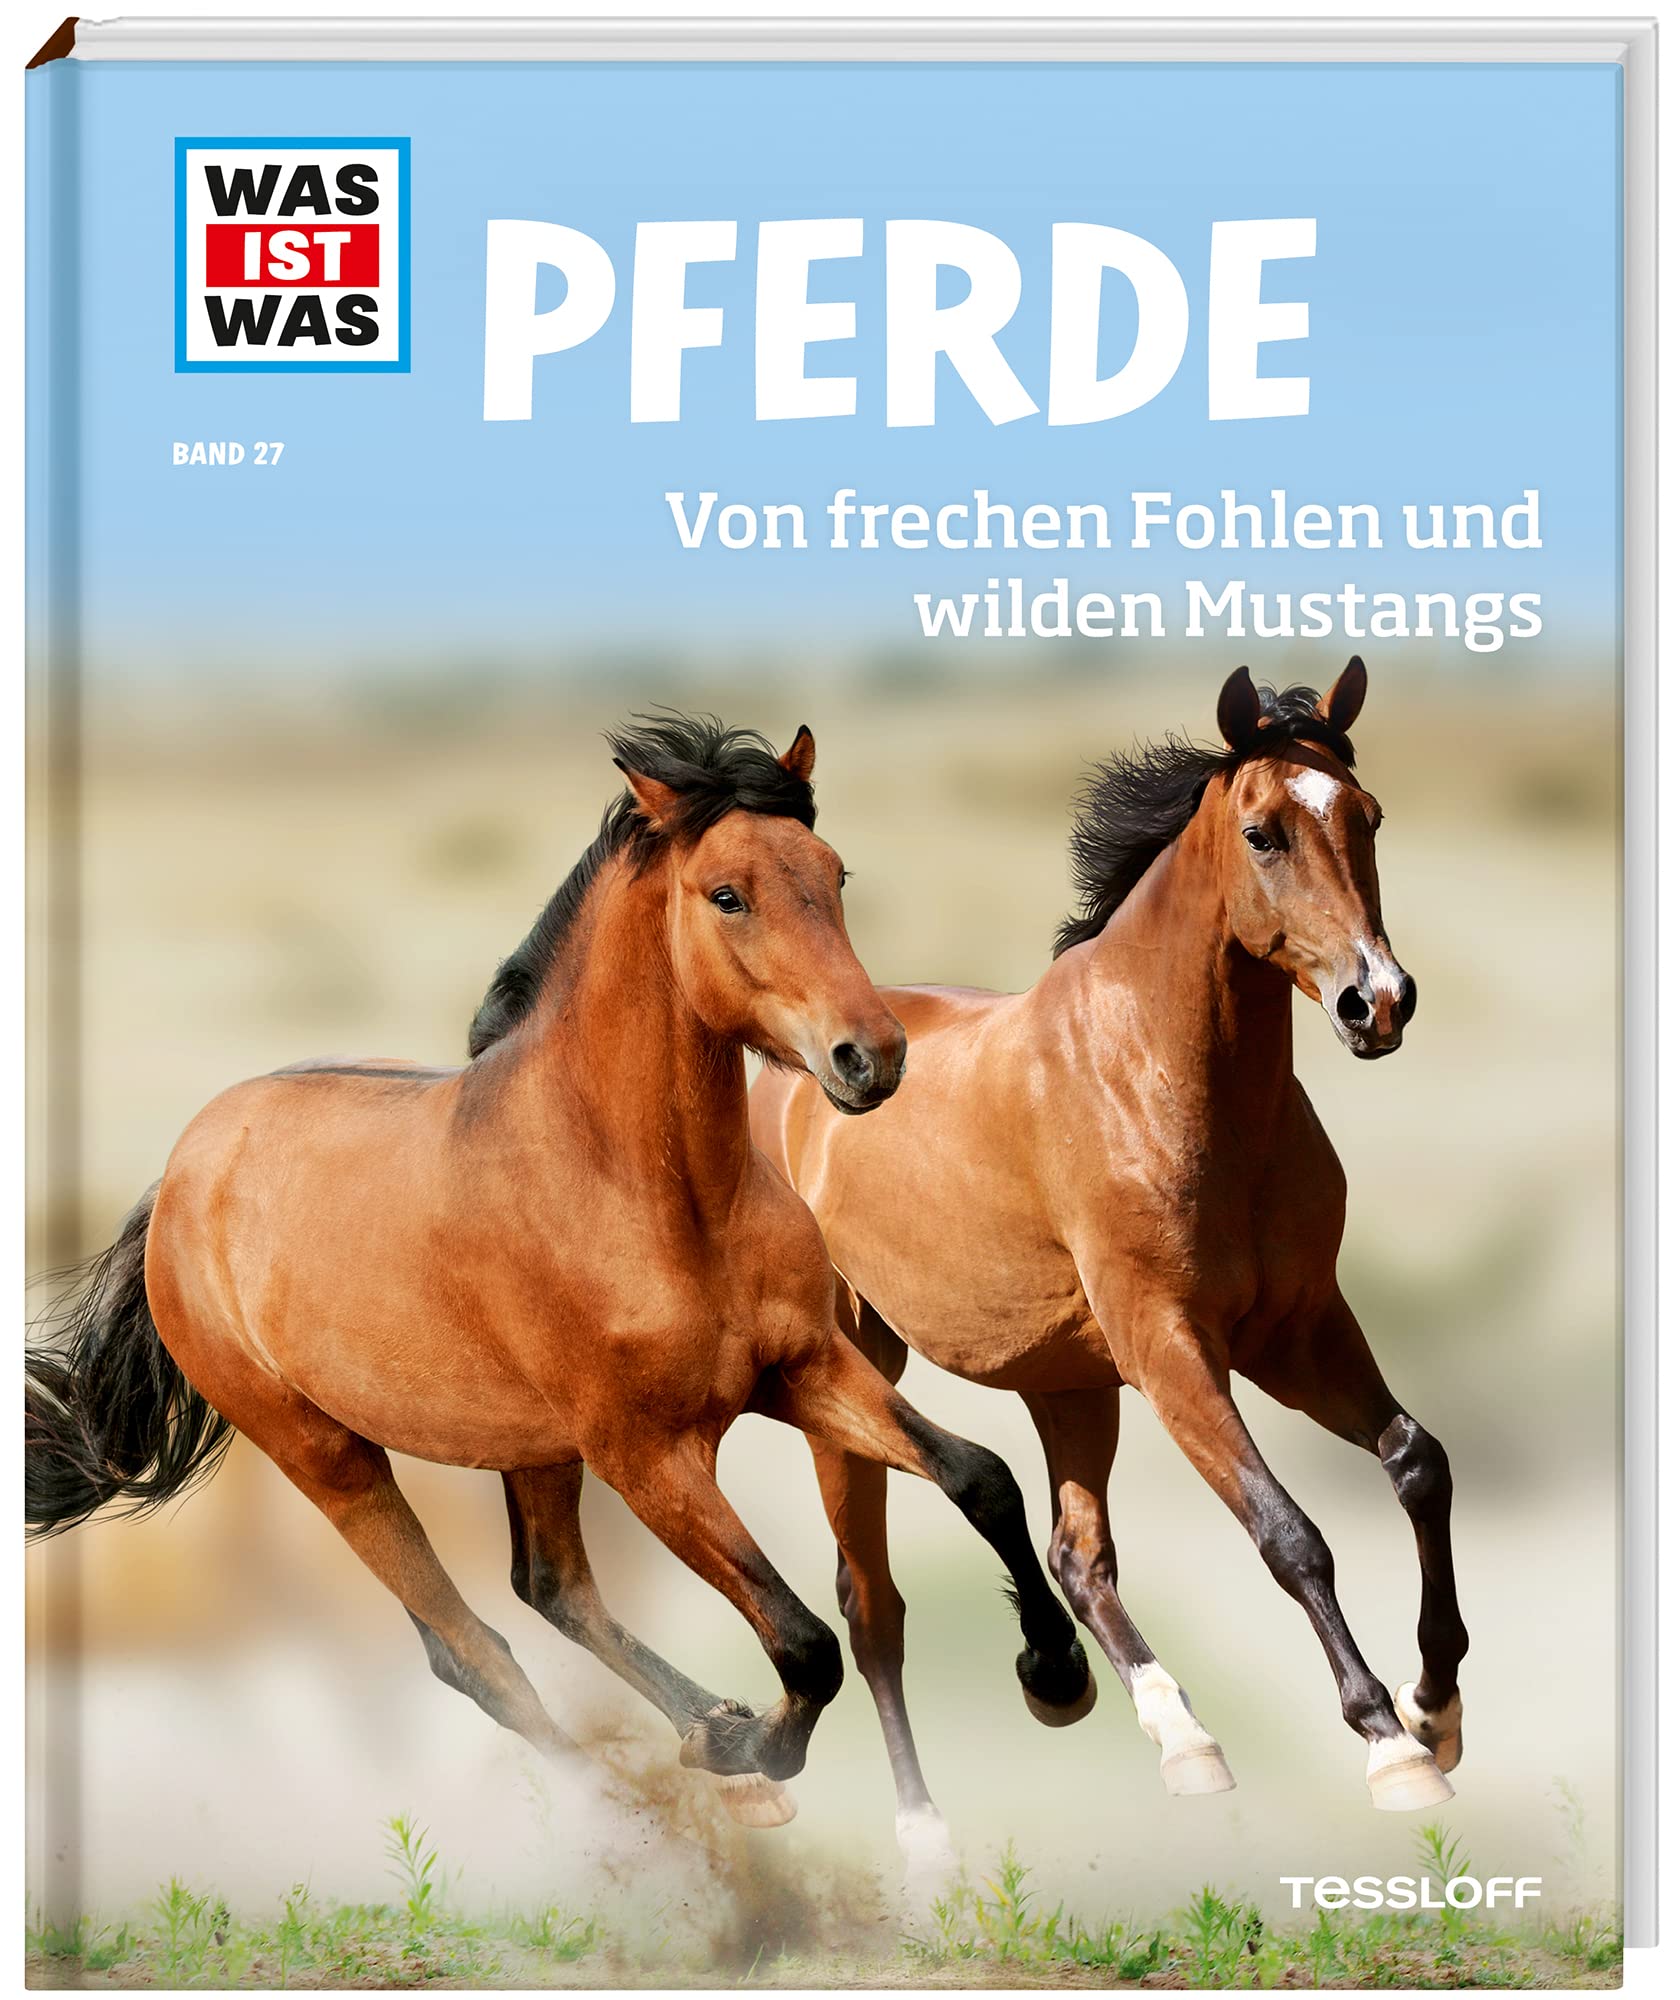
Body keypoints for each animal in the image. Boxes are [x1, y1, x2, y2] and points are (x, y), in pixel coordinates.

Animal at [26, 713, 1093, 1829]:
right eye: (727, 894)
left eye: (834, 873)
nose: (871, 1057)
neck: (655, 1194)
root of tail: (182, 1175)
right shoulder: (649, 1454)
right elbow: (804, 1641)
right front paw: (755, 1745)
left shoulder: (803, 1368)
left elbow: (981, 1479)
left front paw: (1056, 1674)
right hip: (329, 1458)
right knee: (473, 1652)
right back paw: (668, 1804)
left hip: (529, 1446)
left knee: (549, 1588)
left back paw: (708, 1737)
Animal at [751, 660, 1467, 1859]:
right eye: (1264, 833)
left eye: (1367, 817)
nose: (1379, 1001)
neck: (1170, 1079)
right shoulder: (1172, 1347)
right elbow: (1289, 1533)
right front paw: (1391, 1746)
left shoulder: (1299, 1329)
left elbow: (1418, 1460)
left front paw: (1438, 1706)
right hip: (852, 1372)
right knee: (873, 1603)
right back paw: (923, 1831)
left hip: (1068, 1384)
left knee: (1076, 1558)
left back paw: (1171, 1733)